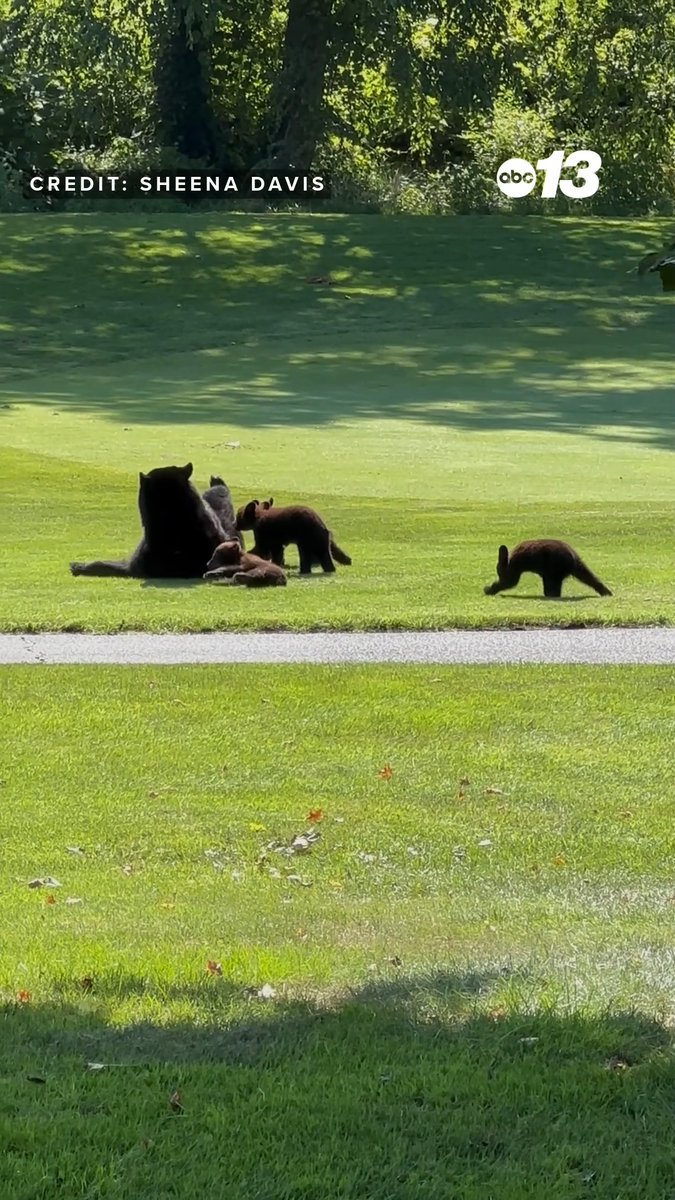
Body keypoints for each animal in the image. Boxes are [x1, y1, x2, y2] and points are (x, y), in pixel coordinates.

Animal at [483, 539, 613, 599]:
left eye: (499, 572)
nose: (499, 575)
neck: (509, 560)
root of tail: (575, 559)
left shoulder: (514, 567)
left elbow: (510, 581)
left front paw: (490, 589)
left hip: (554, 567)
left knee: (551, 583)